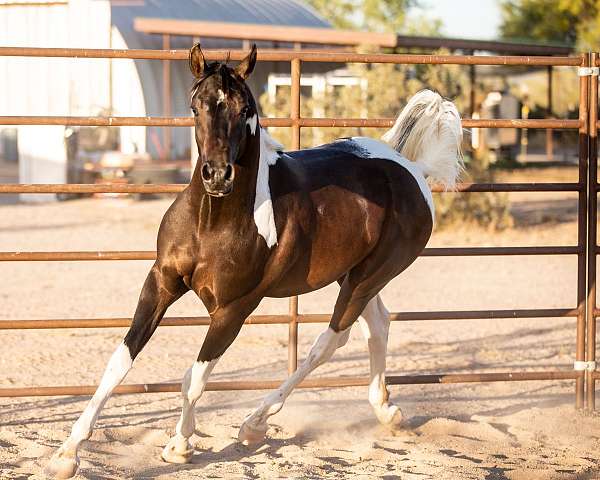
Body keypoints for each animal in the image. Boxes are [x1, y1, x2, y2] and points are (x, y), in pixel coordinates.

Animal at [47, 44, 462, 476]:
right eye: (196, 105)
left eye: (244, 107)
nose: (217, 176)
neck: (212, 221)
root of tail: (411, 170)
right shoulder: (160, 283)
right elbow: (120, 361)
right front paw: (66, 454)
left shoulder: (234, 308)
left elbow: (194, 378)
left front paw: (180, 446)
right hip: (352, 275)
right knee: (377, 324)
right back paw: (386, 411)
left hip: (366, 278)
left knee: (330, 341)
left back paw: (254, 424)